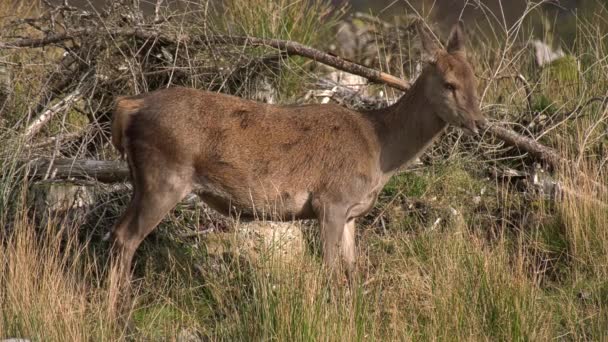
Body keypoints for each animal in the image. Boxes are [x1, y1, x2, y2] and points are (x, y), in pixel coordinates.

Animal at [105, 22, 484, 280]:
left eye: (475, 80)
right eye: (449, 84)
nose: (479, 123)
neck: (381, 149)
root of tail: (130, 106)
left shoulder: (351, 213)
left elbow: (352, 272)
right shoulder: (331, 201)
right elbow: (332, 272)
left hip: (141, 179)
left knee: (116, 232)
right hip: (165, 175)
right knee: (126, 238)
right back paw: (117, 315)